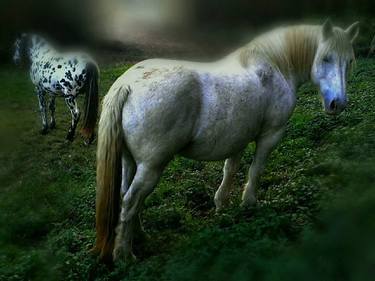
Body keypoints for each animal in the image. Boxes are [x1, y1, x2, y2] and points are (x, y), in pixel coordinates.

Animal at [92, 20, 360, 260]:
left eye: (349, 61)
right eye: (325, 58)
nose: (338, 104)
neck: (275, 66)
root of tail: (127, 85)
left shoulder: (238, 138)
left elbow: (230, 169)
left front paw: (221, 205)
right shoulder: (270, 135)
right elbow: (256, 169)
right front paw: (249, 203)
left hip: (130, 160)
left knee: (127, 196)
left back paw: (139, 237)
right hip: (151, 166)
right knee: (131, 200)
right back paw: (124, 255)